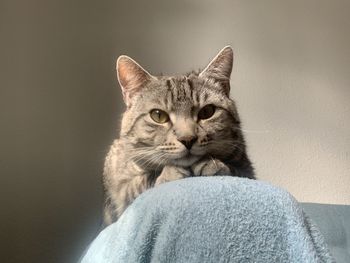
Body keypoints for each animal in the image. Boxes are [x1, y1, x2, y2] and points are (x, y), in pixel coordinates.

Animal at [102, 46, 254, 226]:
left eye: (207, 112)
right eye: (158, 115)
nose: (187, 139)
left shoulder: (247, 168)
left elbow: (237, 170)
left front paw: (213, 164)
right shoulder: (120, 191)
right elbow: (137, 186)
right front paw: (168, 174)